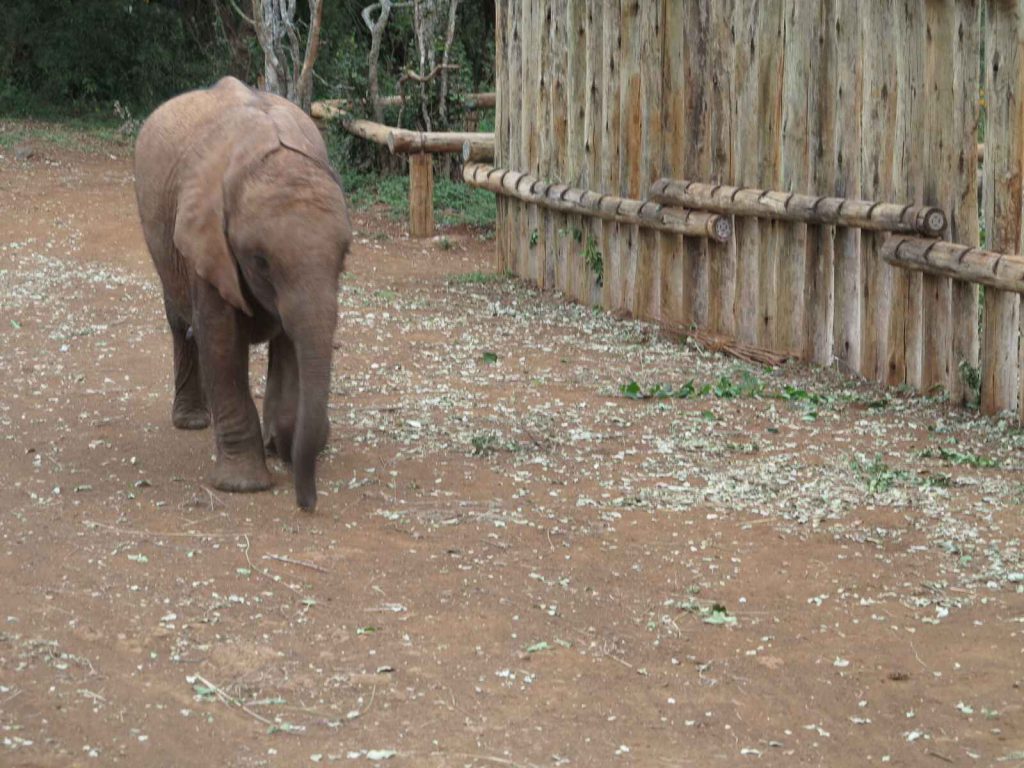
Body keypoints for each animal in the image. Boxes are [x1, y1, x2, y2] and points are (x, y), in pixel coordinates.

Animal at [134, 76, 351, 510]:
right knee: (181, 323)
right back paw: (194, 422)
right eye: (260, 261)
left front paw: (284, 443)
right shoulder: (205, 241)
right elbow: (221, 341)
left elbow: (290, 345)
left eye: (344, 258)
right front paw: (243, 484)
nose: (307, 504)